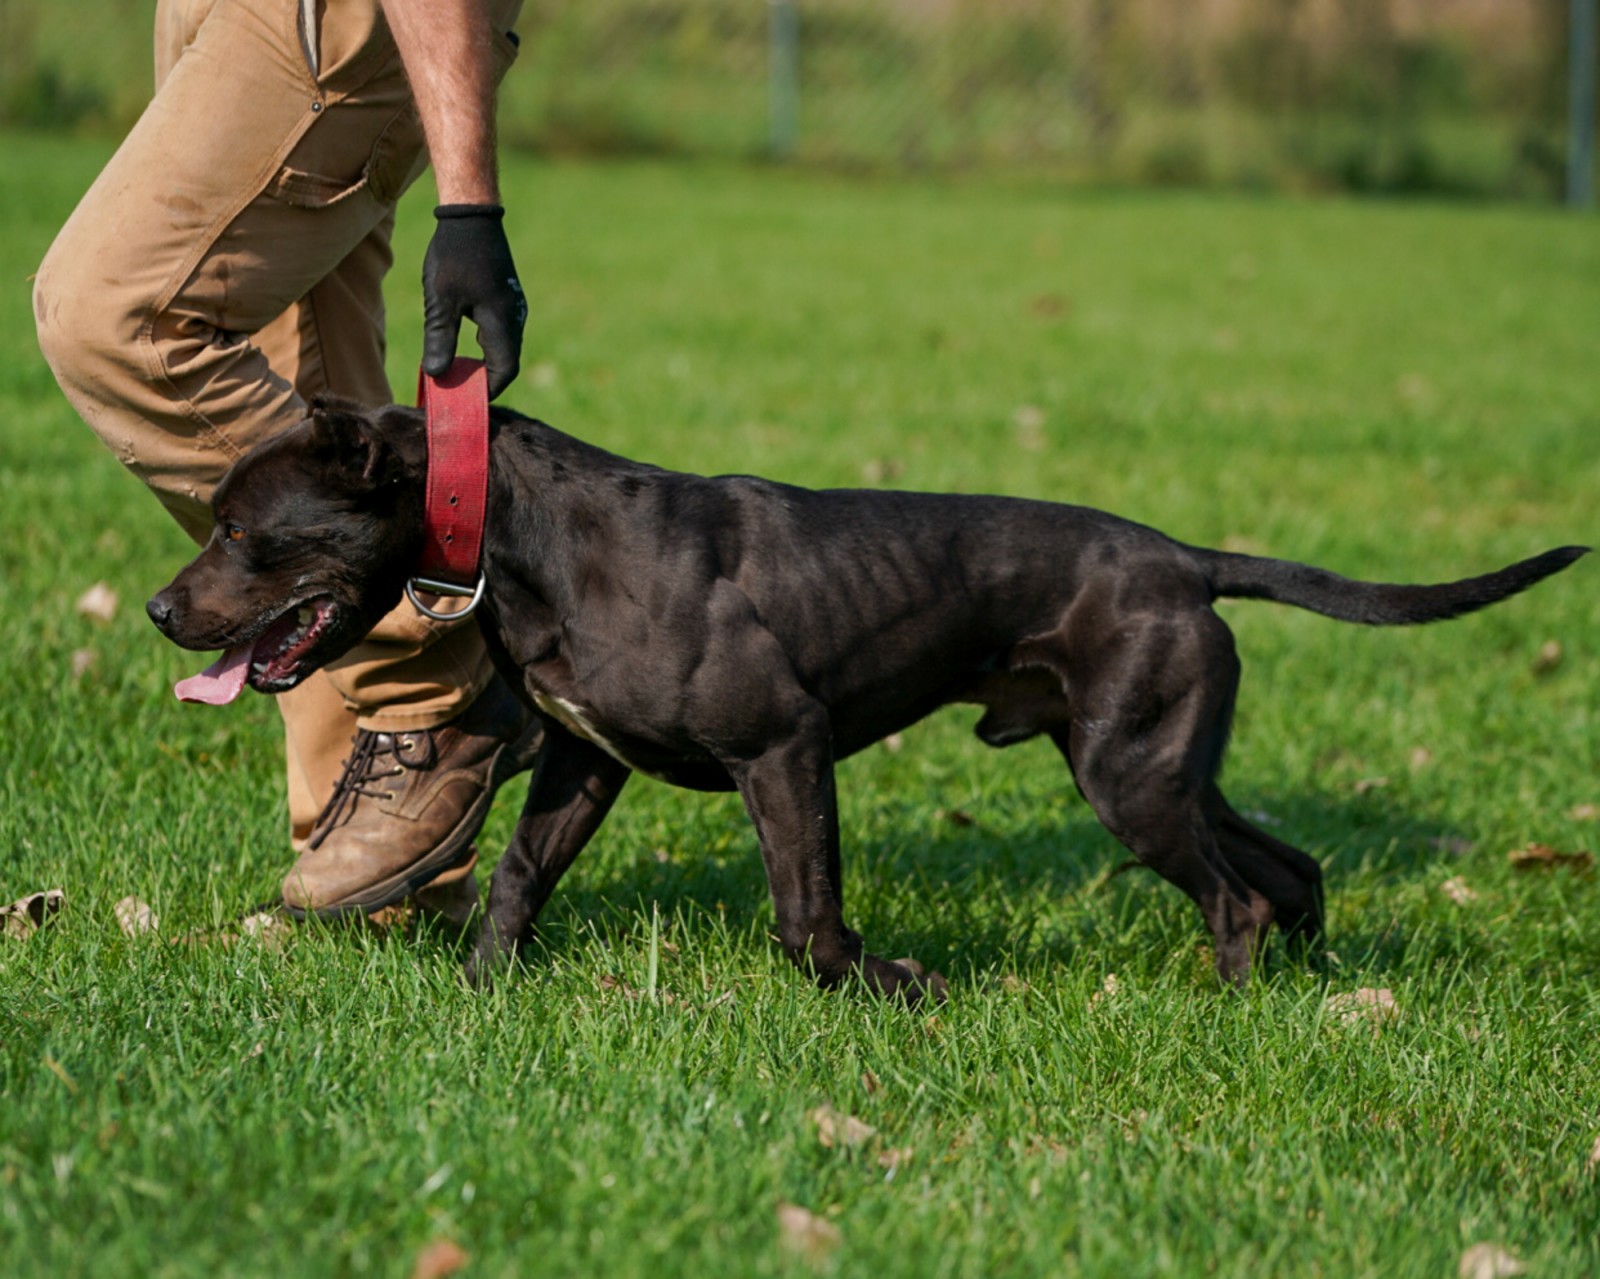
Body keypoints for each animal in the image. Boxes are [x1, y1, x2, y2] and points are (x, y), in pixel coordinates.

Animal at [147, 403, 1587, 998]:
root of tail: (1185, 556)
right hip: (1161, 762)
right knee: (1287, 868)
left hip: (1131, 779)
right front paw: (482, 984)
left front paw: (885, 986)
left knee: (1235, 894)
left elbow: (805, 917)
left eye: (245, 533)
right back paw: (1310, 983)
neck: (520, 529)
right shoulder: (583, 763)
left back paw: (1229, 1007)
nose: (160, 610)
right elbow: (515, 874)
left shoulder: (786, 750)